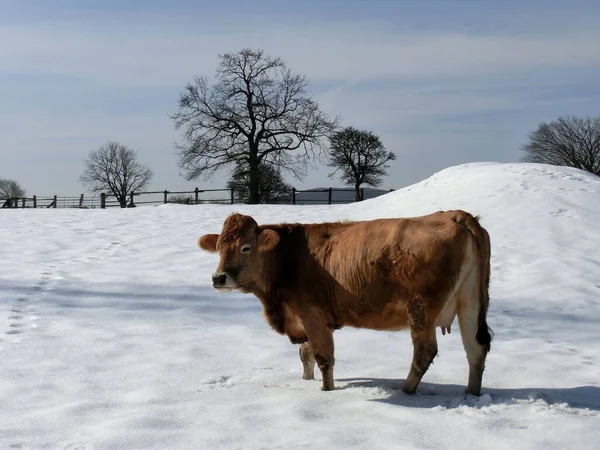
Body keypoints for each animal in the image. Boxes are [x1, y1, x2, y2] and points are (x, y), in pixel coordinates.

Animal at [197, 209, 492, 396]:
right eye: (219, 247)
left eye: (246, 247)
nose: (218, 277)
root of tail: (455, 215)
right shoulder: (302, 318)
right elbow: (305, 356)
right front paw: (305, 381)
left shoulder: (314, 316)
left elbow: (323, 358)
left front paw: (326, 392)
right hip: (470, 303)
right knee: (476, 348)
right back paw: (472, 393)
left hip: (422, 308)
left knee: (425, 352)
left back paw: (406, 390)